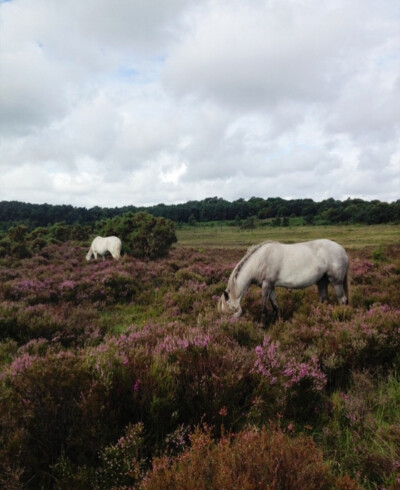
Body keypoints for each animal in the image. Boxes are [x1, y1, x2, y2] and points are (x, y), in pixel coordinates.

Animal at [217, 238, 348, 322]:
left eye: (229, 311)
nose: (225, 325)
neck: (260, 260)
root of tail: (342, 250)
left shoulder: (266, 285)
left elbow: (264, 307)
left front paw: (262, 325)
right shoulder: (271, 286)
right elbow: (275, 306)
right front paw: (277, 322)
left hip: (336, 282)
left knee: (342, 301)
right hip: (322, 282)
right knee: (324, 300)